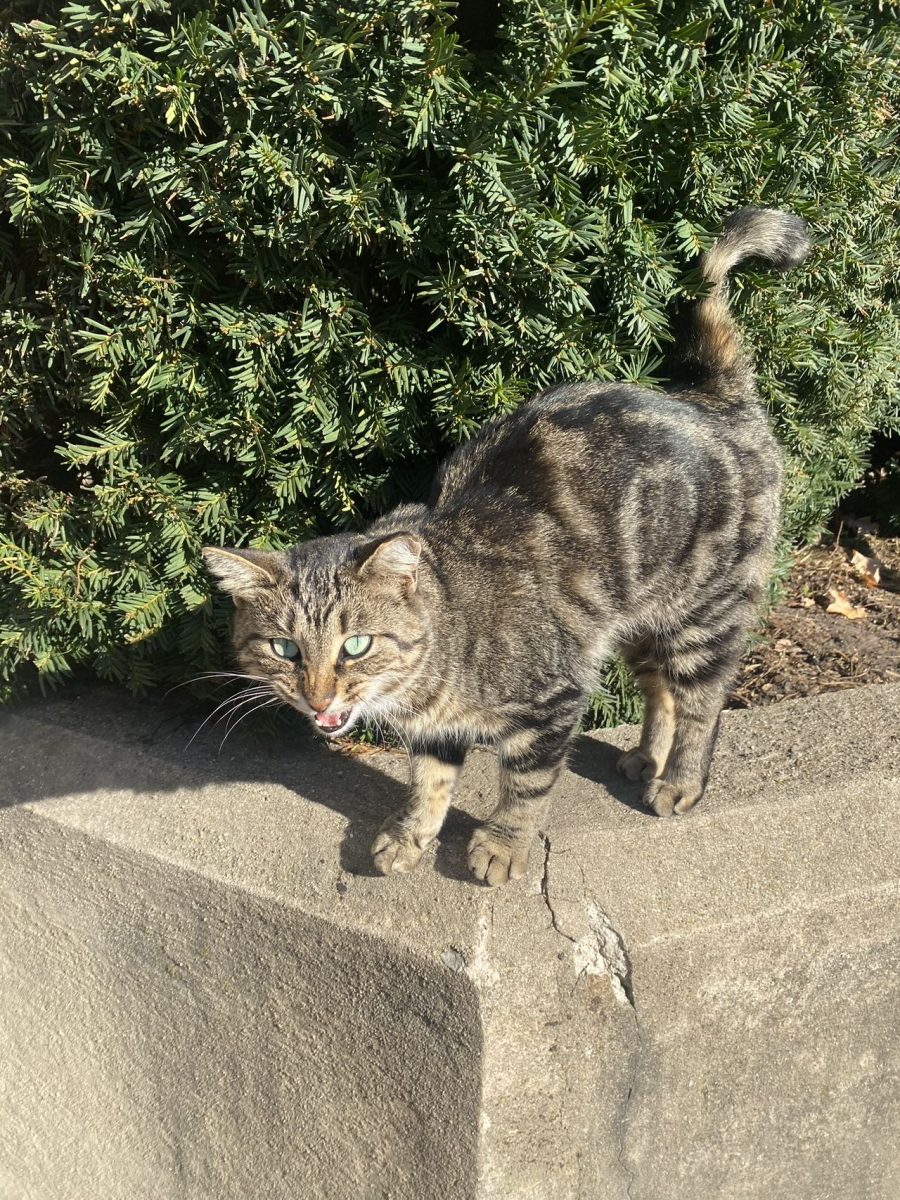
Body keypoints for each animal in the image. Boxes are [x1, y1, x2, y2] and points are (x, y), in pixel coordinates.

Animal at [204, 206, 811, 888]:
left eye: (355, 645)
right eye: (284, 649)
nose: (318, 698)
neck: (439, 654)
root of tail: (713, 395)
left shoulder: (553, 699)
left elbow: (525, 786)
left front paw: (504, 844)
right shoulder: (438, 728)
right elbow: (429, 782)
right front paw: (411, 833)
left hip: (703, 613)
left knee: (703, 700)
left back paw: (679, 780)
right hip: (635, 615)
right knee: (658, 688)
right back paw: (644, 757)